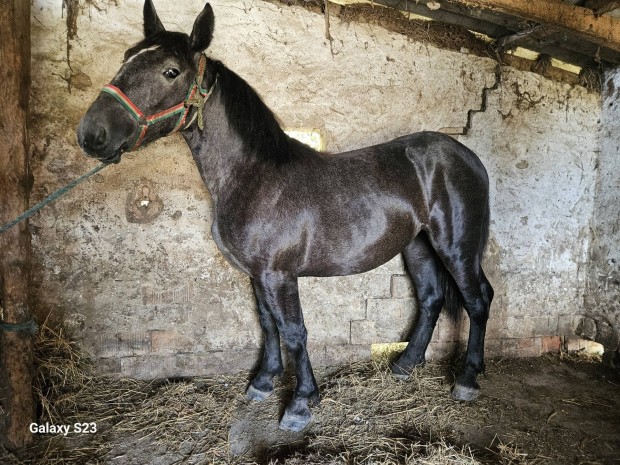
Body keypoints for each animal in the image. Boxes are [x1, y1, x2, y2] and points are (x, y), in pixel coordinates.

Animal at [77, 0, 494, 432]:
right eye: (127, 57)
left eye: (171, 71)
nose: (91, 134)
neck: (254, 178)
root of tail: (467, 157)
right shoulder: (256, 274)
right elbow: (268, 324)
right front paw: (263, 382)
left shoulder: (279, 274)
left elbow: (294, 331)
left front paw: (300, 403)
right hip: (418, 244)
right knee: (430, 298)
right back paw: (405, 366)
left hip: (456, 246)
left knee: (477, 299)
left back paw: (466, 380)